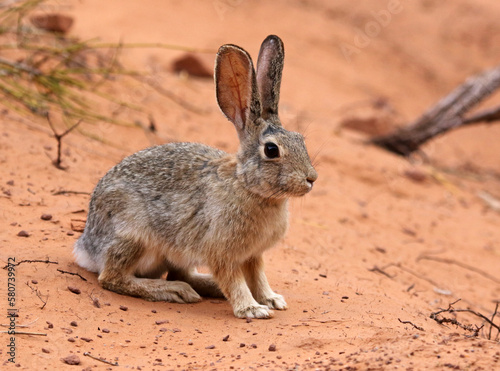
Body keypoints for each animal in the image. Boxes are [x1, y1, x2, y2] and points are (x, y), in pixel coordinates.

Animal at [73, 35, 316, 320]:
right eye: (271, 150)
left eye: (300, 139)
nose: (311, 178)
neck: (247, 186)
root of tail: (86, 248)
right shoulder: (222, 252)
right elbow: (234, 280)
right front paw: (252, 308)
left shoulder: (253, 255)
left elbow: (258, 277)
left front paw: (272, 299)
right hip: (134, 236)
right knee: (112, 277)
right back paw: (176, 291)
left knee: (179, 273)